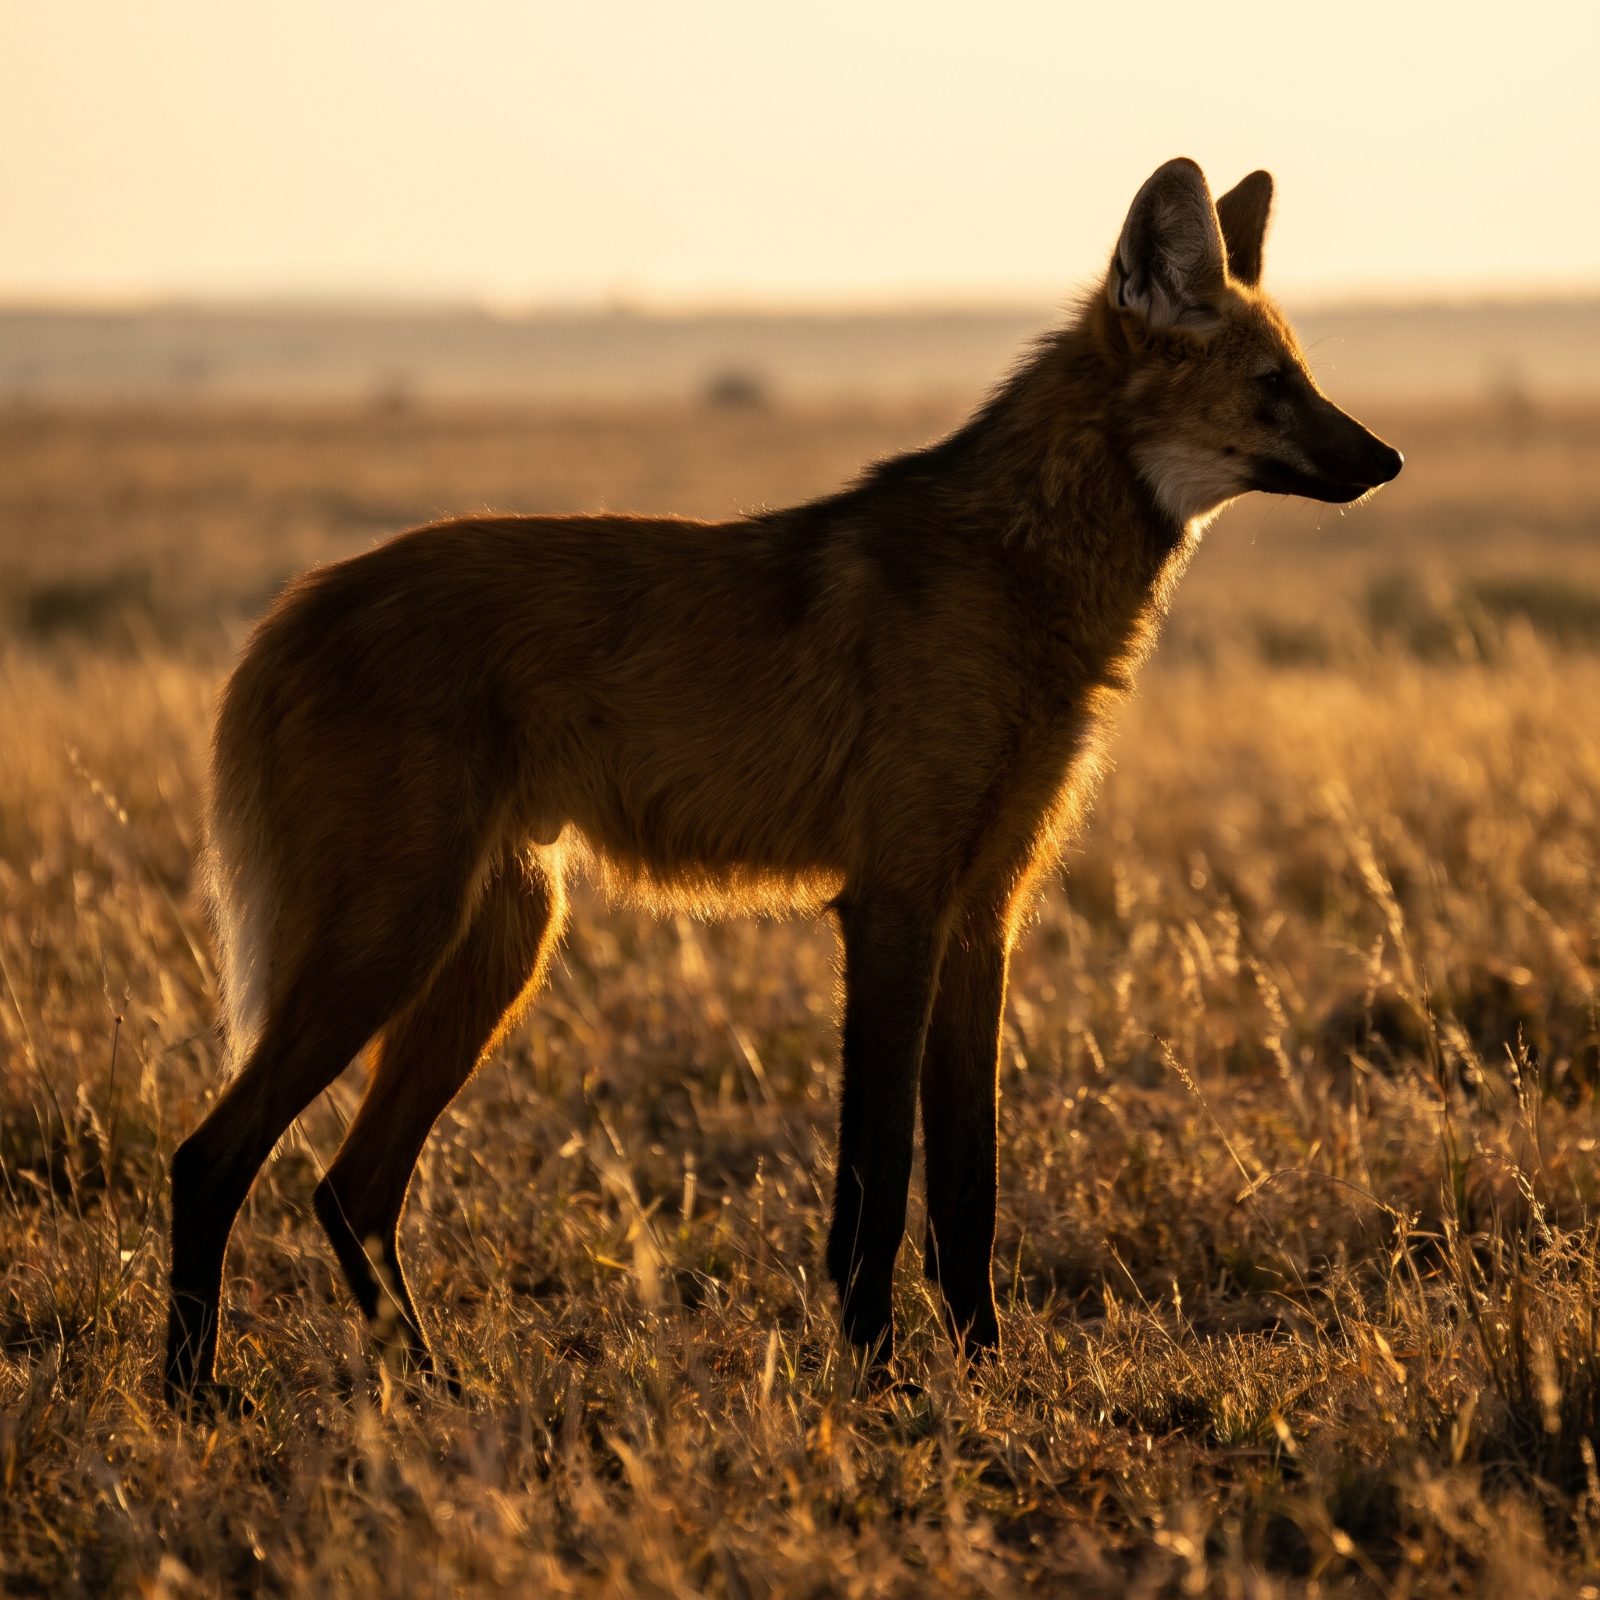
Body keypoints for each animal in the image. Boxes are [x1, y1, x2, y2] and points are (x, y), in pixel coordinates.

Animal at [164, 157, 1401, 1410]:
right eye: (1273, 387)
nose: (1388, 461)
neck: (1022, 576)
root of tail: (296, 604)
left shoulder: (979, 913)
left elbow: (968, 1184)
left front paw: (987, 1372)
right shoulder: (895, 902)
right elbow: (879, 1176)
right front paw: (877, 1373)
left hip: (499, 939)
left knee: (348, 1186)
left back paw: (433, 1387)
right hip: (399, 933)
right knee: (211, 1157)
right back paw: (192, 1396)